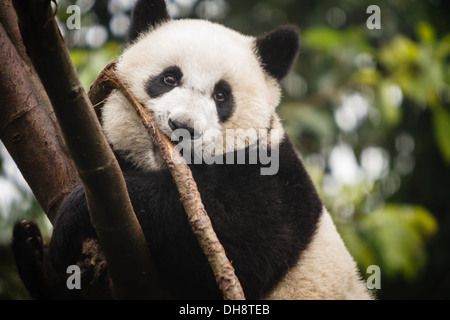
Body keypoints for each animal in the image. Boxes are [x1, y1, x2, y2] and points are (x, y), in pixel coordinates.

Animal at [41, 0, 372, 300]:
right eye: (169, 78)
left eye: (221, 95)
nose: (182, 126)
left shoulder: (275, 186)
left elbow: (240, 244)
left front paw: (74, 215)